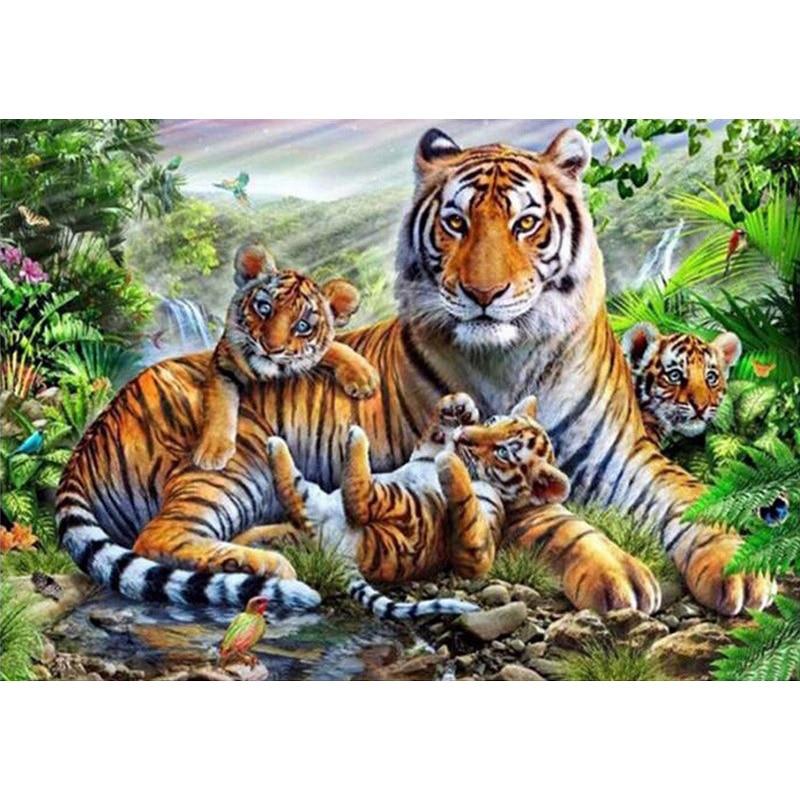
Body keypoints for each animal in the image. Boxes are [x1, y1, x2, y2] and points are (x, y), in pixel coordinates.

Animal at [193, 240, 380, 470]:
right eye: (264, 308)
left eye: (302, 326)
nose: (270, 347)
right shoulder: (222, 364)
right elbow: (219, 403)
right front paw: (213, 451)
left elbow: (332, 348)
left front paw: (363, 376)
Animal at [257, 393, 569, 619]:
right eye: (492, 421)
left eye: (502, 452)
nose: (463, 435)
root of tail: (337, 553)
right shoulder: (424, 452)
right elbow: (433, 434)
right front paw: (460, 405)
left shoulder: (479, 551)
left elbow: (468, 510)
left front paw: (451, 463)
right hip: (317, 499)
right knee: (294, 495)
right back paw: (276, 445)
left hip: (406, 511)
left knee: (361, 500)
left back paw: (355, 437)